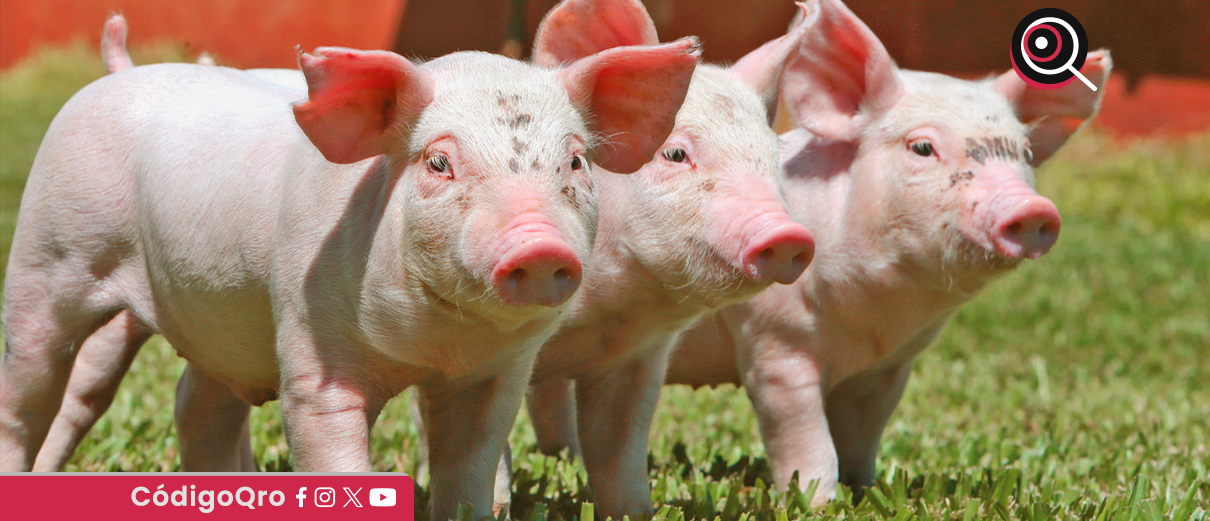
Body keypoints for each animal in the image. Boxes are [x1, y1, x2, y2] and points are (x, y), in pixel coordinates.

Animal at [0, 21, 700, 520]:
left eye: (576, 162)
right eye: (438, 162)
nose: (539, 247)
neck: (434, 344)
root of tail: (120, 71)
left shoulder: (495, 374)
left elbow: (470, 470)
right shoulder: (310, 344)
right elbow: (329, 446)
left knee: (198, 402)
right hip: (47, 254)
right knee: (34, 388)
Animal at [661, 0, 1112, 505]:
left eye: (1026, 152)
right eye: (923, 147)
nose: (1032, 208)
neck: (877, 314)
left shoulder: (888, 368)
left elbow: (861, 435)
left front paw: (866, 491)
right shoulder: (774, 343)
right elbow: (807, 441)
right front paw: (816, 502)